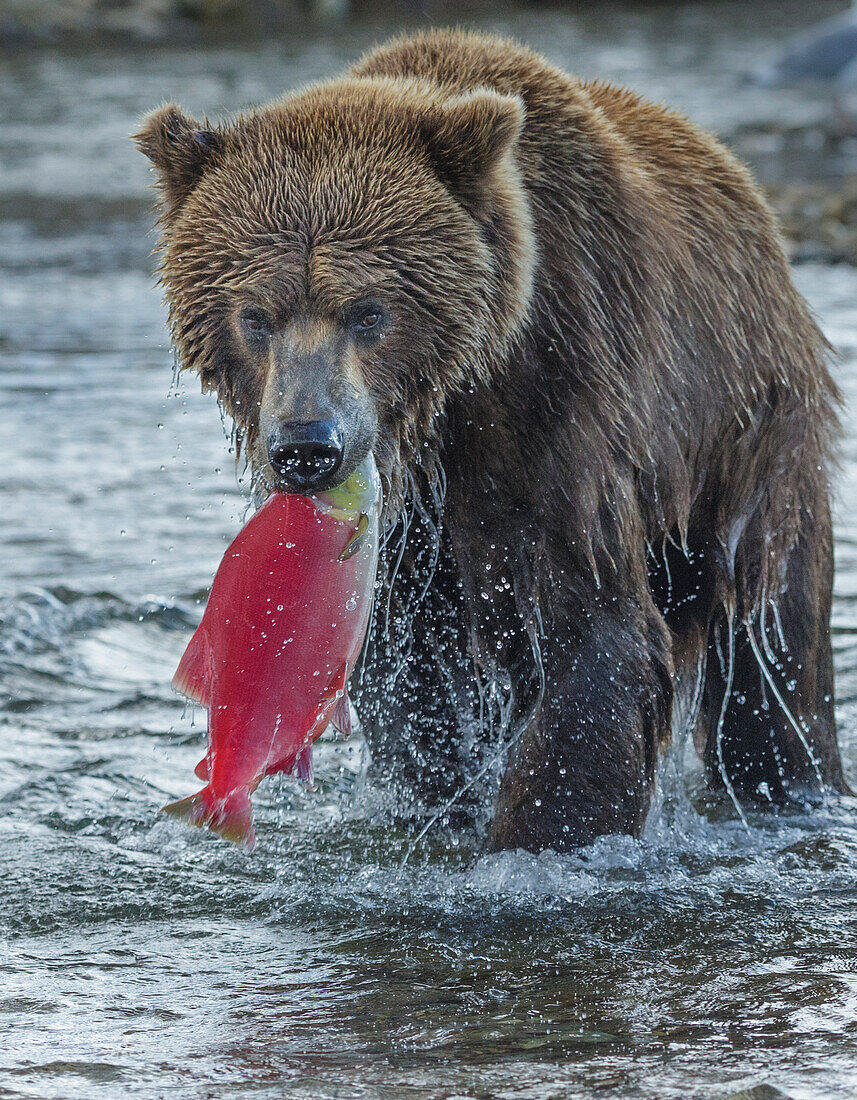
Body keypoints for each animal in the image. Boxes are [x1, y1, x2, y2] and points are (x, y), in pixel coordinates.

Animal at [135, 25, 849, 849]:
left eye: (369, 312)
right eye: (254, 315)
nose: (307, 445)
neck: (449, 406)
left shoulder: (558, 406)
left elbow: (589, 636)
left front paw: (535, 838)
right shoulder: (412, 524)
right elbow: (409, 672)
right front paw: (440, 802)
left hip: (748, 441)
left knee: (771, 659)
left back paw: (790, 785)